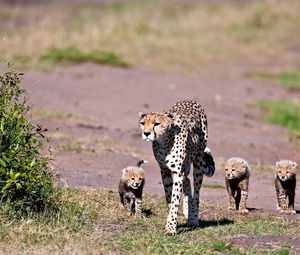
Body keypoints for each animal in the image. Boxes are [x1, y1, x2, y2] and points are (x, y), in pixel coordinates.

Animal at [139, 100, 214, 235]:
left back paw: (193, 218)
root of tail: (190, 100)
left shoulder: (177, 172)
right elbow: (169, 197)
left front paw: (171, 228)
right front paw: (172, 220)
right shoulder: (164, 170)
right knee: (187, 180)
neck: (164, 142)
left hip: (198, 163)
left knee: (196, 192)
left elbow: (175, 199)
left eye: (156, 123)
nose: (146, 133)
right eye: (143, 123)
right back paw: (187, 212)